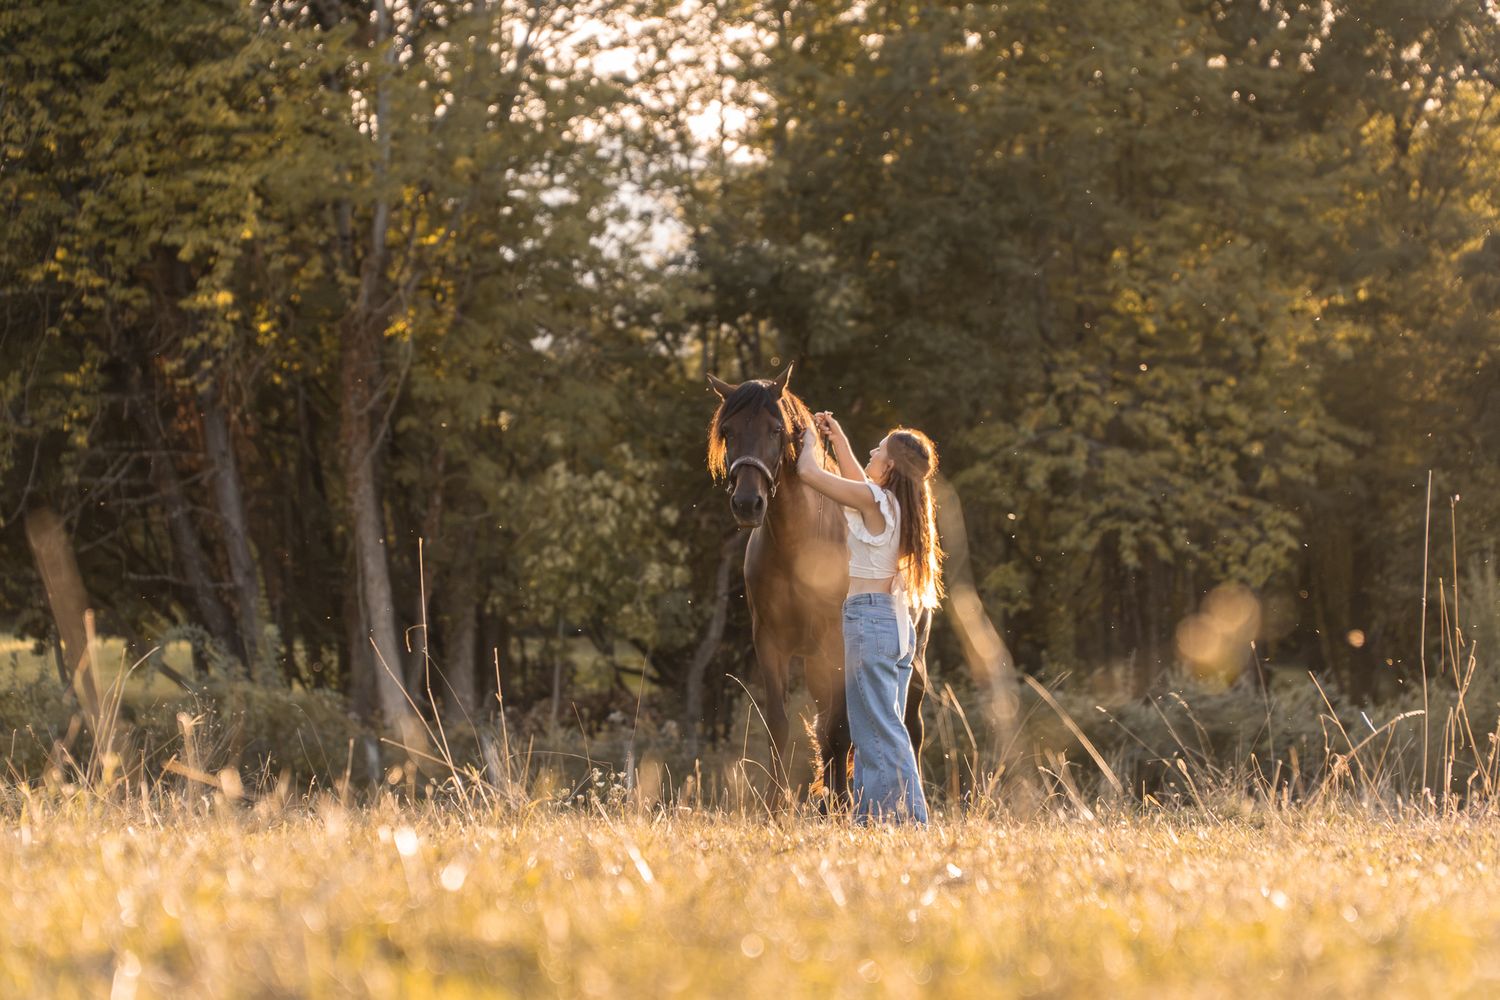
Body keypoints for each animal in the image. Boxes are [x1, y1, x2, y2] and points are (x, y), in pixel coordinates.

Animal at [706, 364, 931, 806]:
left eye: (776, 429)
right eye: (728, 430)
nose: (747, 504)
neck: (800, 546)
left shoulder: (838, 644)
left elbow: (840, 731)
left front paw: (842, 803)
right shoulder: (770, 643)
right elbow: (781, 725)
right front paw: (776, 805)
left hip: (913, 659)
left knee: (908, 726)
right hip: (816, 664)